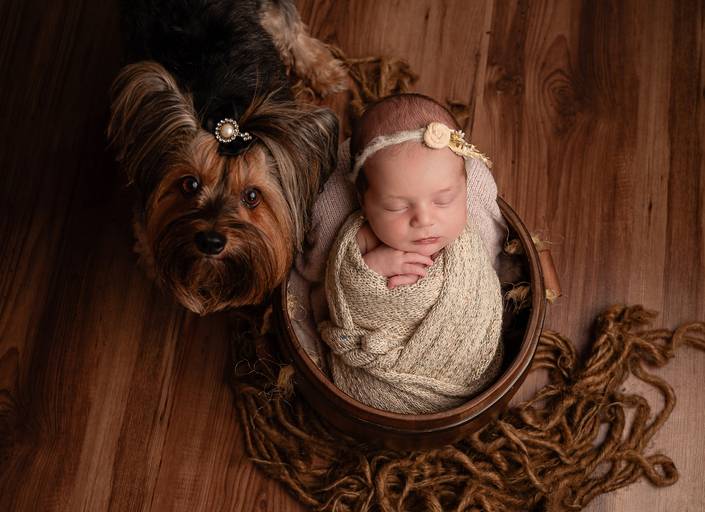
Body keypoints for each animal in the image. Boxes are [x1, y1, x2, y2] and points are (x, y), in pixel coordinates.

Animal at [108, 0, 345, 314]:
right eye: (190, 184)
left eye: (252, 196)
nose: (211, 241)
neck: (223, 110)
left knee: (287, 22)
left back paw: (322, 69)